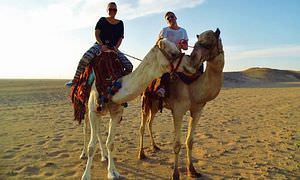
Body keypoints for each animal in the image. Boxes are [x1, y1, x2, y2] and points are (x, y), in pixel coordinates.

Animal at [79, 38, 198, 180]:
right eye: (174, 53)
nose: (193, 65)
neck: (112, 85)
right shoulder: (93, 111)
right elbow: (92, 146)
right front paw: (86, 175)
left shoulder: (116, 112)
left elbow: (110, 143)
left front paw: (112, 172)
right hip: (88, 109)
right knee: (86, 129)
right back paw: (83, 154)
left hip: (102, 111)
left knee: (97, 132)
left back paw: (104, 156)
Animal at [137, 28, 224, 179]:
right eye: (197, 42)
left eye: (208, 44)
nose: (193, 61)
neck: (194, 87)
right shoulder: (178, 110)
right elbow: (177, 144)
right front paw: (175, 174)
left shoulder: (197, 110)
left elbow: (190, 141)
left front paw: (192, 170)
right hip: (146, 101)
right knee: (142, 125)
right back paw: (141, 154)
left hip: (155, 104)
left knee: (150, 122)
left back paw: (155, 146)